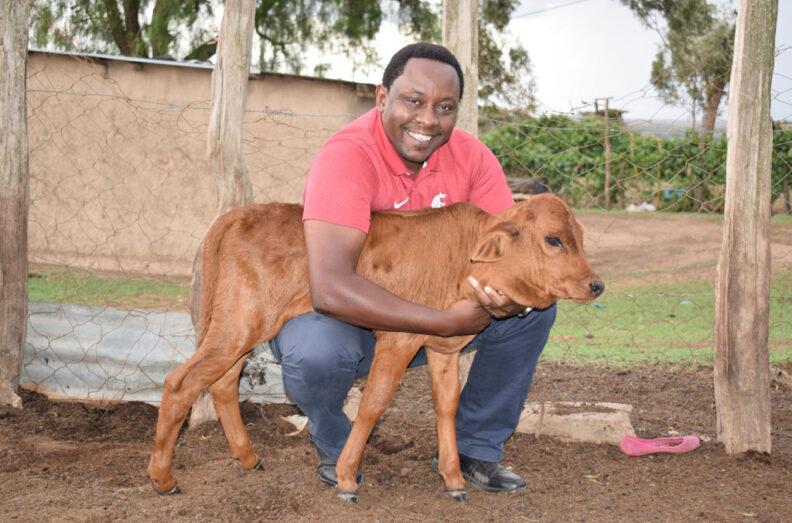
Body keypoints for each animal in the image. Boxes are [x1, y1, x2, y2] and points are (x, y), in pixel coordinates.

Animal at [146, 193, 604, 503]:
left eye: (580, 236)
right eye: (554, 240)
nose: (596, 284)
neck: (464, 260)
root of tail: (242, 212)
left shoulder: (445, 348)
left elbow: (447, 405)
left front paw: (454, 478)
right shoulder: (398, 337)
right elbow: (374, 403)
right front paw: (347, 477)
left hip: (241, 327)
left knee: (222, 382)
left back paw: (247, 458)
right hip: (240, 323)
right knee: (181, 382)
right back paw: (163, 479)